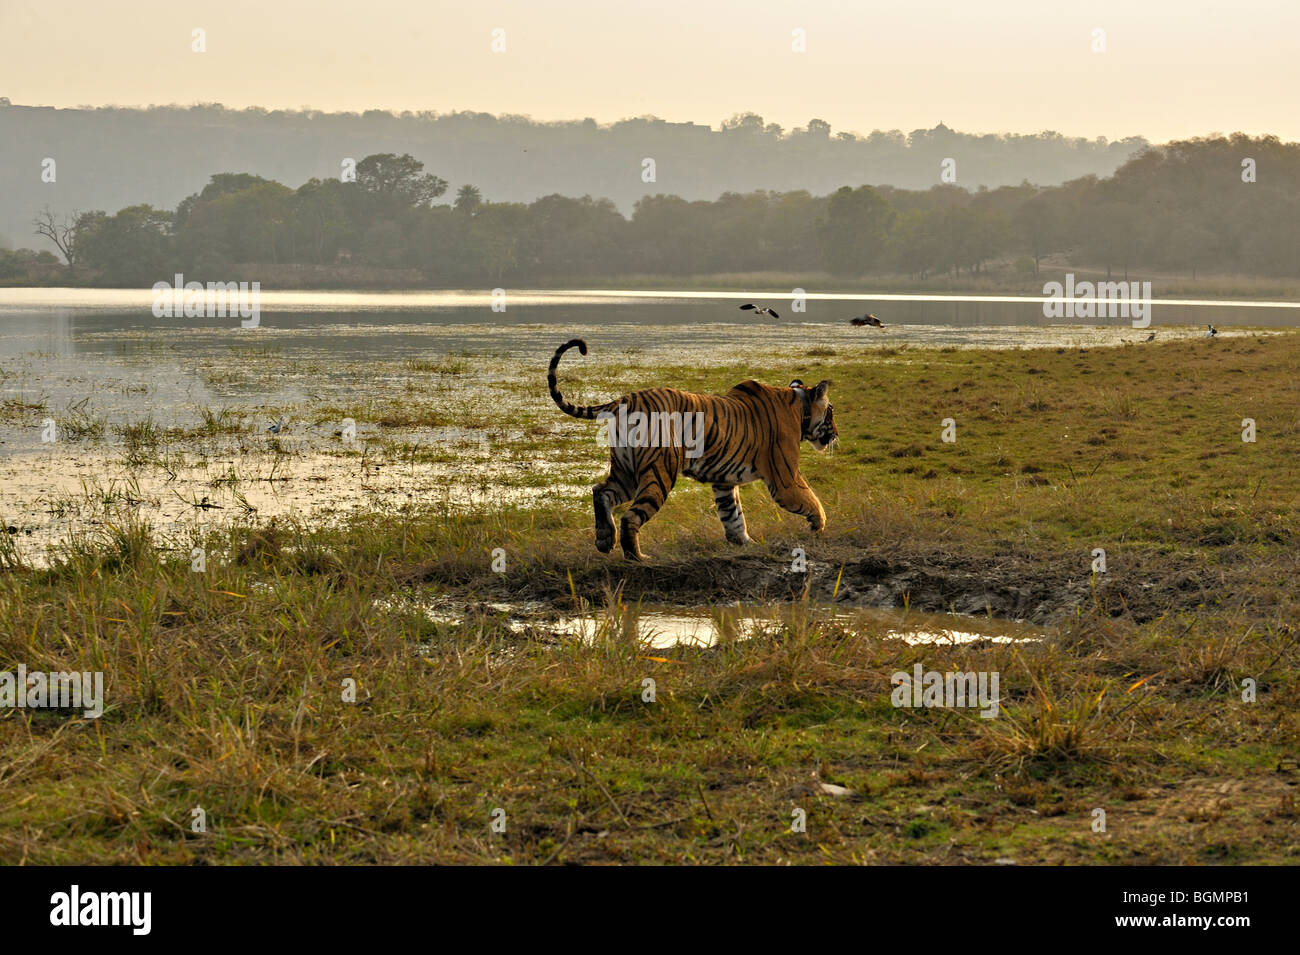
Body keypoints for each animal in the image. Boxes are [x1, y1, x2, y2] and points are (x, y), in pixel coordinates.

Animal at [546, 340, 832, 561]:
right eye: (831, 412)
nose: (836, 434)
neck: (801, 408)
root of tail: (626, 398)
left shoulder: (724, 481)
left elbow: (733, 516)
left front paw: (745, 543)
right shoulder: (784, 478)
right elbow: (811, 499)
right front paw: (819, 527)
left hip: (627, 471)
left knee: (600, 491)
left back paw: (605, 540)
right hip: (659, 471)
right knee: (630, 516)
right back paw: (637, 557)